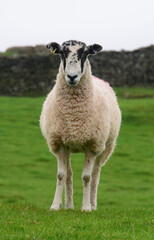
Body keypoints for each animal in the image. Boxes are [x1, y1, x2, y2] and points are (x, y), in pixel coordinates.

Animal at [40, 39, 121, 212]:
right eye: (62, 53)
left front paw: (86, 207)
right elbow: (62, 175)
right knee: (69, 173)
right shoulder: (59, 143)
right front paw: (55, 205)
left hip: (106, 146)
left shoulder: (92, 145)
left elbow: (86, 177)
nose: (72, 76)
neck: (73, 116)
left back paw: (93, 204)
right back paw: (69, 206)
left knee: (96, 174)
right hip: (69, 145)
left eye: (85, 53)